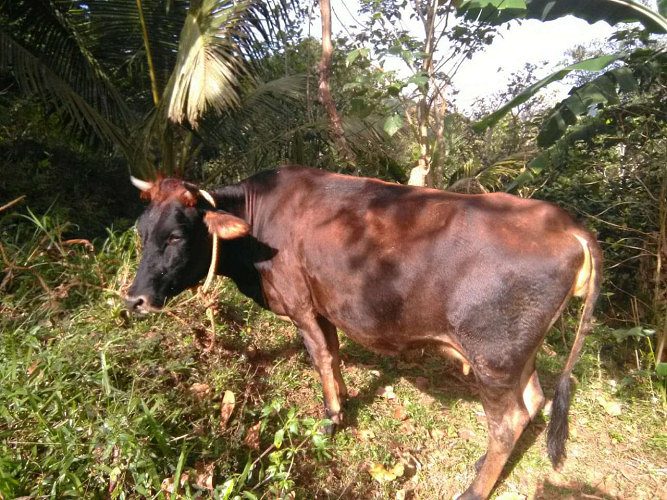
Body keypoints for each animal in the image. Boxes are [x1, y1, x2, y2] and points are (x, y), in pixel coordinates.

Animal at [124, 166, 601, 499]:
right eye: (142, 231)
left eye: (176, 235)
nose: (135, 300)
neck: (257, 226)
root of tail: (569, 225)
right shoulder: (325, 307)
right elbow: (333, 355)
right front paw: (343, 402)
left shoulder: (300, 305)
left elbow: (320, 357)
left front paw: (330, 419)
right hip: (520, 355)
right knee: (533, 401)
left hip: (493, 358)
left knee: (507, 422)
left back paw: (474, 488)